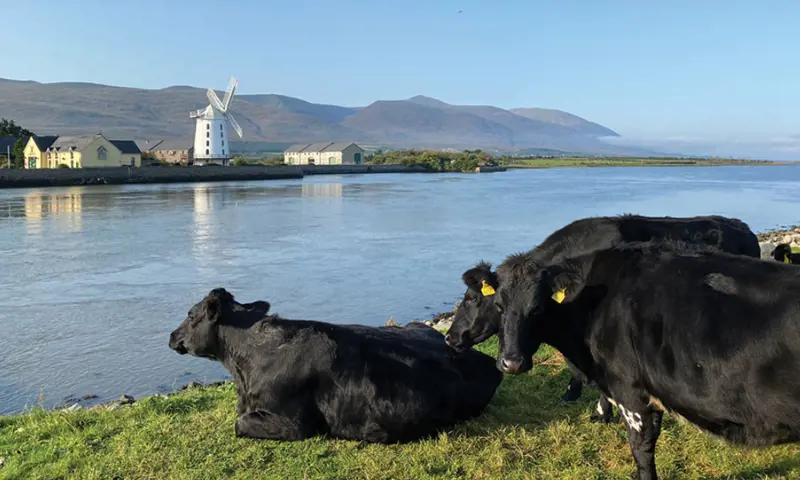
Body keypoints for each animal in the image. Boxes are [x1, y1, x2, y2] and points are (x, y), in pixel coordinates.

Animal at [444, 213, 760, 422]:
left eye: (472, 298)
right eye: (499, 305)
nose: (450, 337)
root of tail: (742, 226)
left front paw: (600, 411)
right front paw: (574, 397)